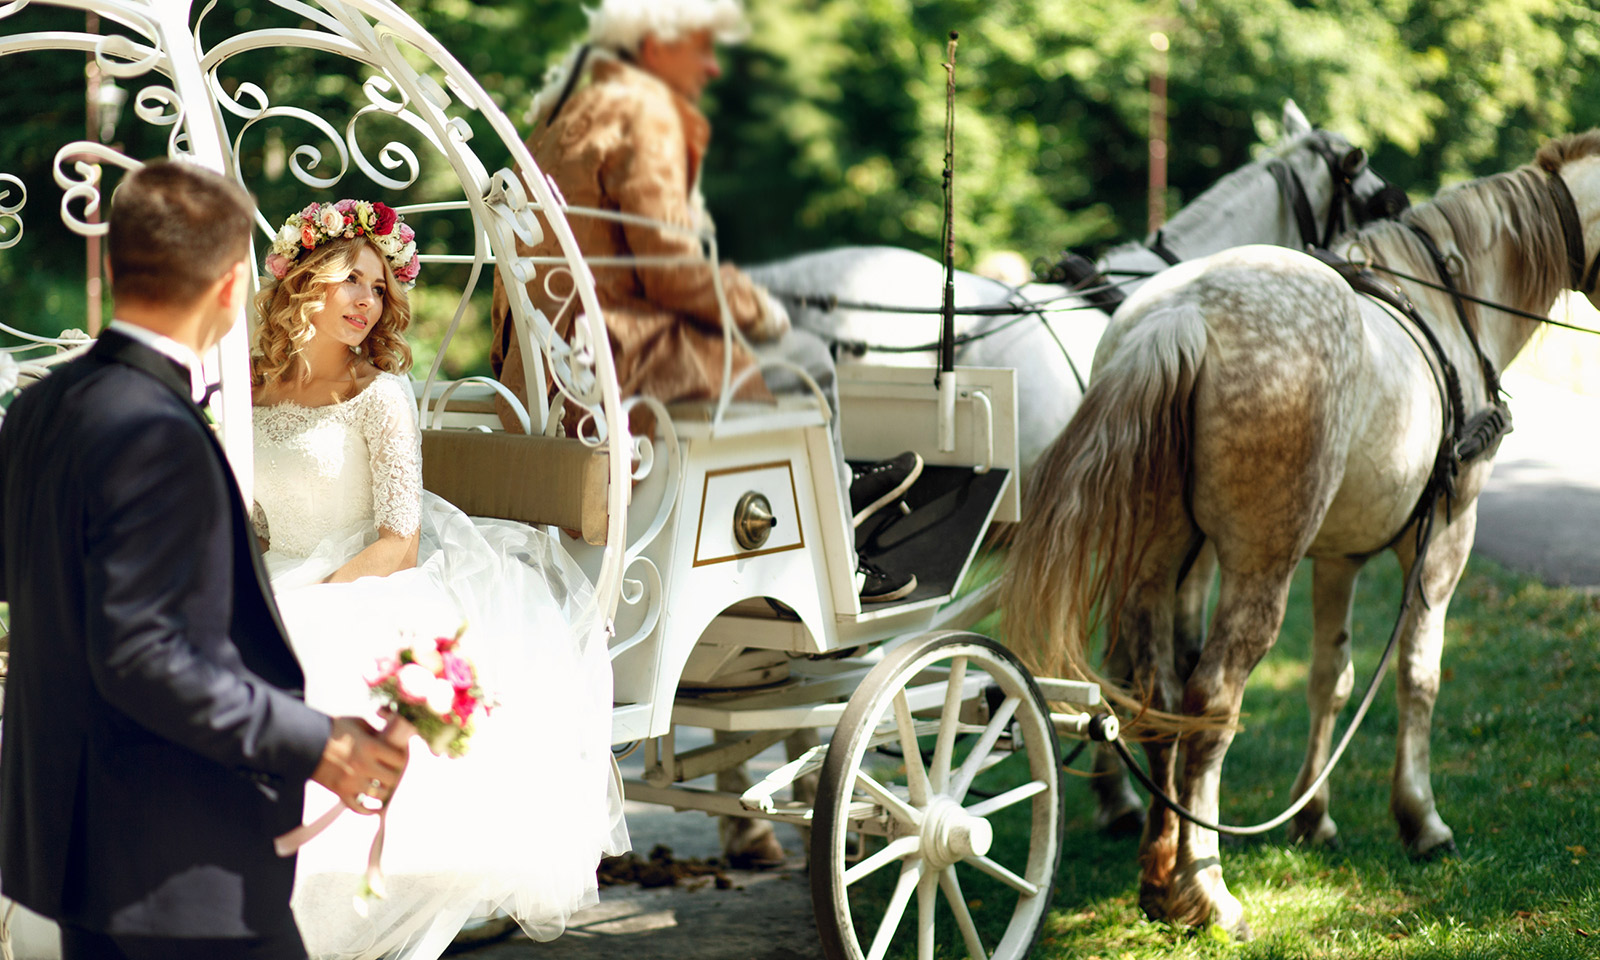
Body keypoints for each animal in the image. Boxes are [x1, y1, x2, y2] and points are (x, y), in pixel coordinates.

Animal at [998, 129, 1600, 934]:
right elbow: (1418, 675)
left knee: (1156, 691)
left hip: (1161, 561)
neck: (1447, 301)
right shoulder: (1445, 535)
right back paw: (1207, 888)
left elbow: (1330, 677)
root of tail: (1181, 316)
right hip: (1262, 564)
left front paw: (1313, 815)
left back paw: (1160, 875)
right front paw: (1420, 819)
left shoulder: (1338, 556)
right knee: (1211, 698)